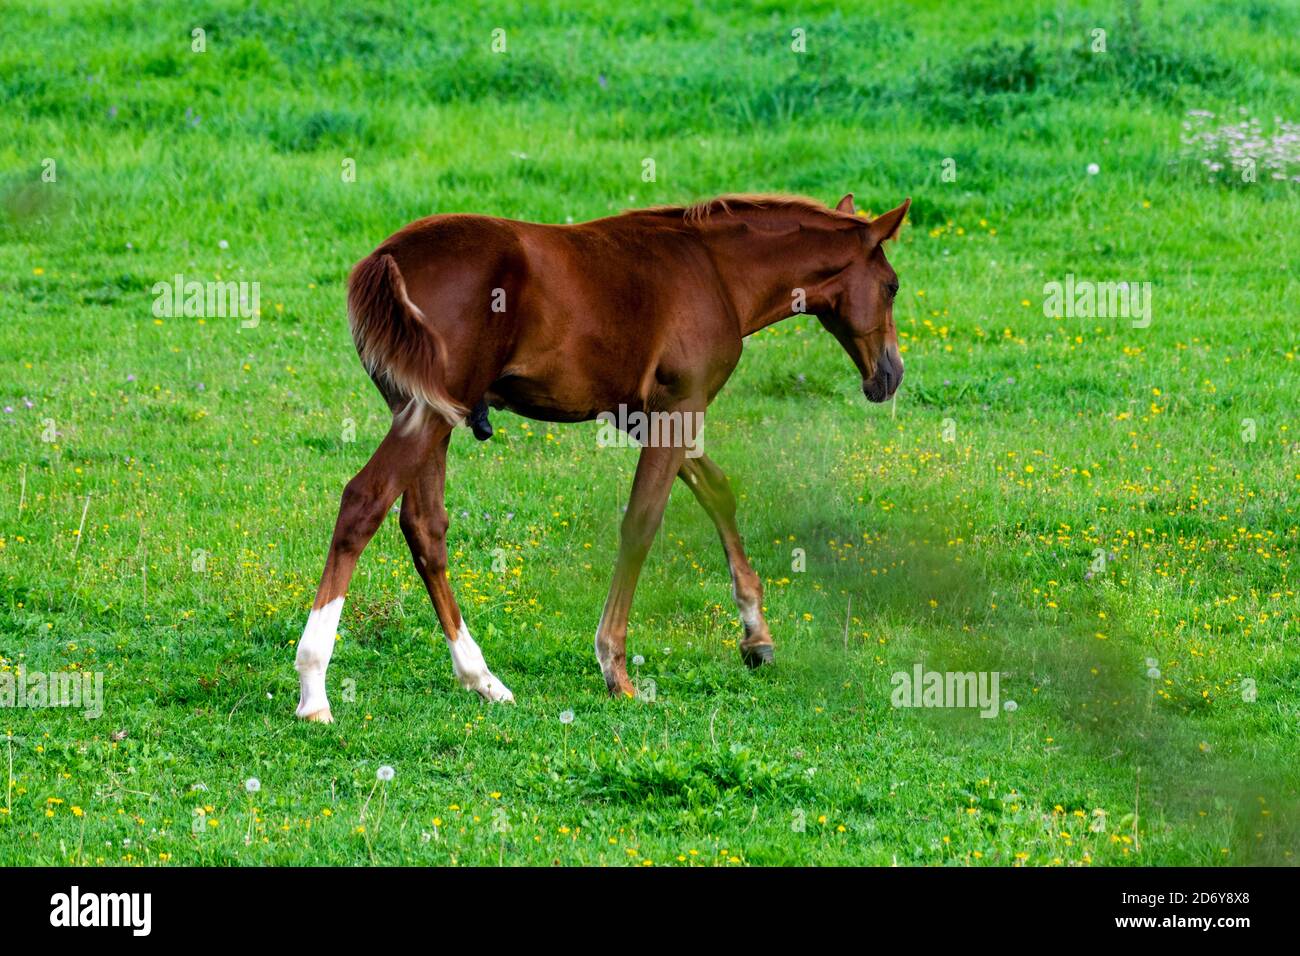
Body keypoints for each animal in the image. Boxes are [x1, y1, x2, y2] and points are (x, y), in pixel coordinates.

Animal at [293, 192, 909, 721]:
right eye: (893, 286)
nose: (890, 375)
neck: (717, 272)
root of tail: (387, 257)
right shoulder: (680, 407)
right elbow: (642, 523)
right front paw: (616, 668)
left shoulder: (643, 414)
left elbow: (717, 491)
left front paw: (756, 635)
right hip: (428, 414)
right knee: (364, 502)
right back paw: (314, 688)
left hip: (430, 413)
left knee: (424, 527)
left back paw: (482, 678)